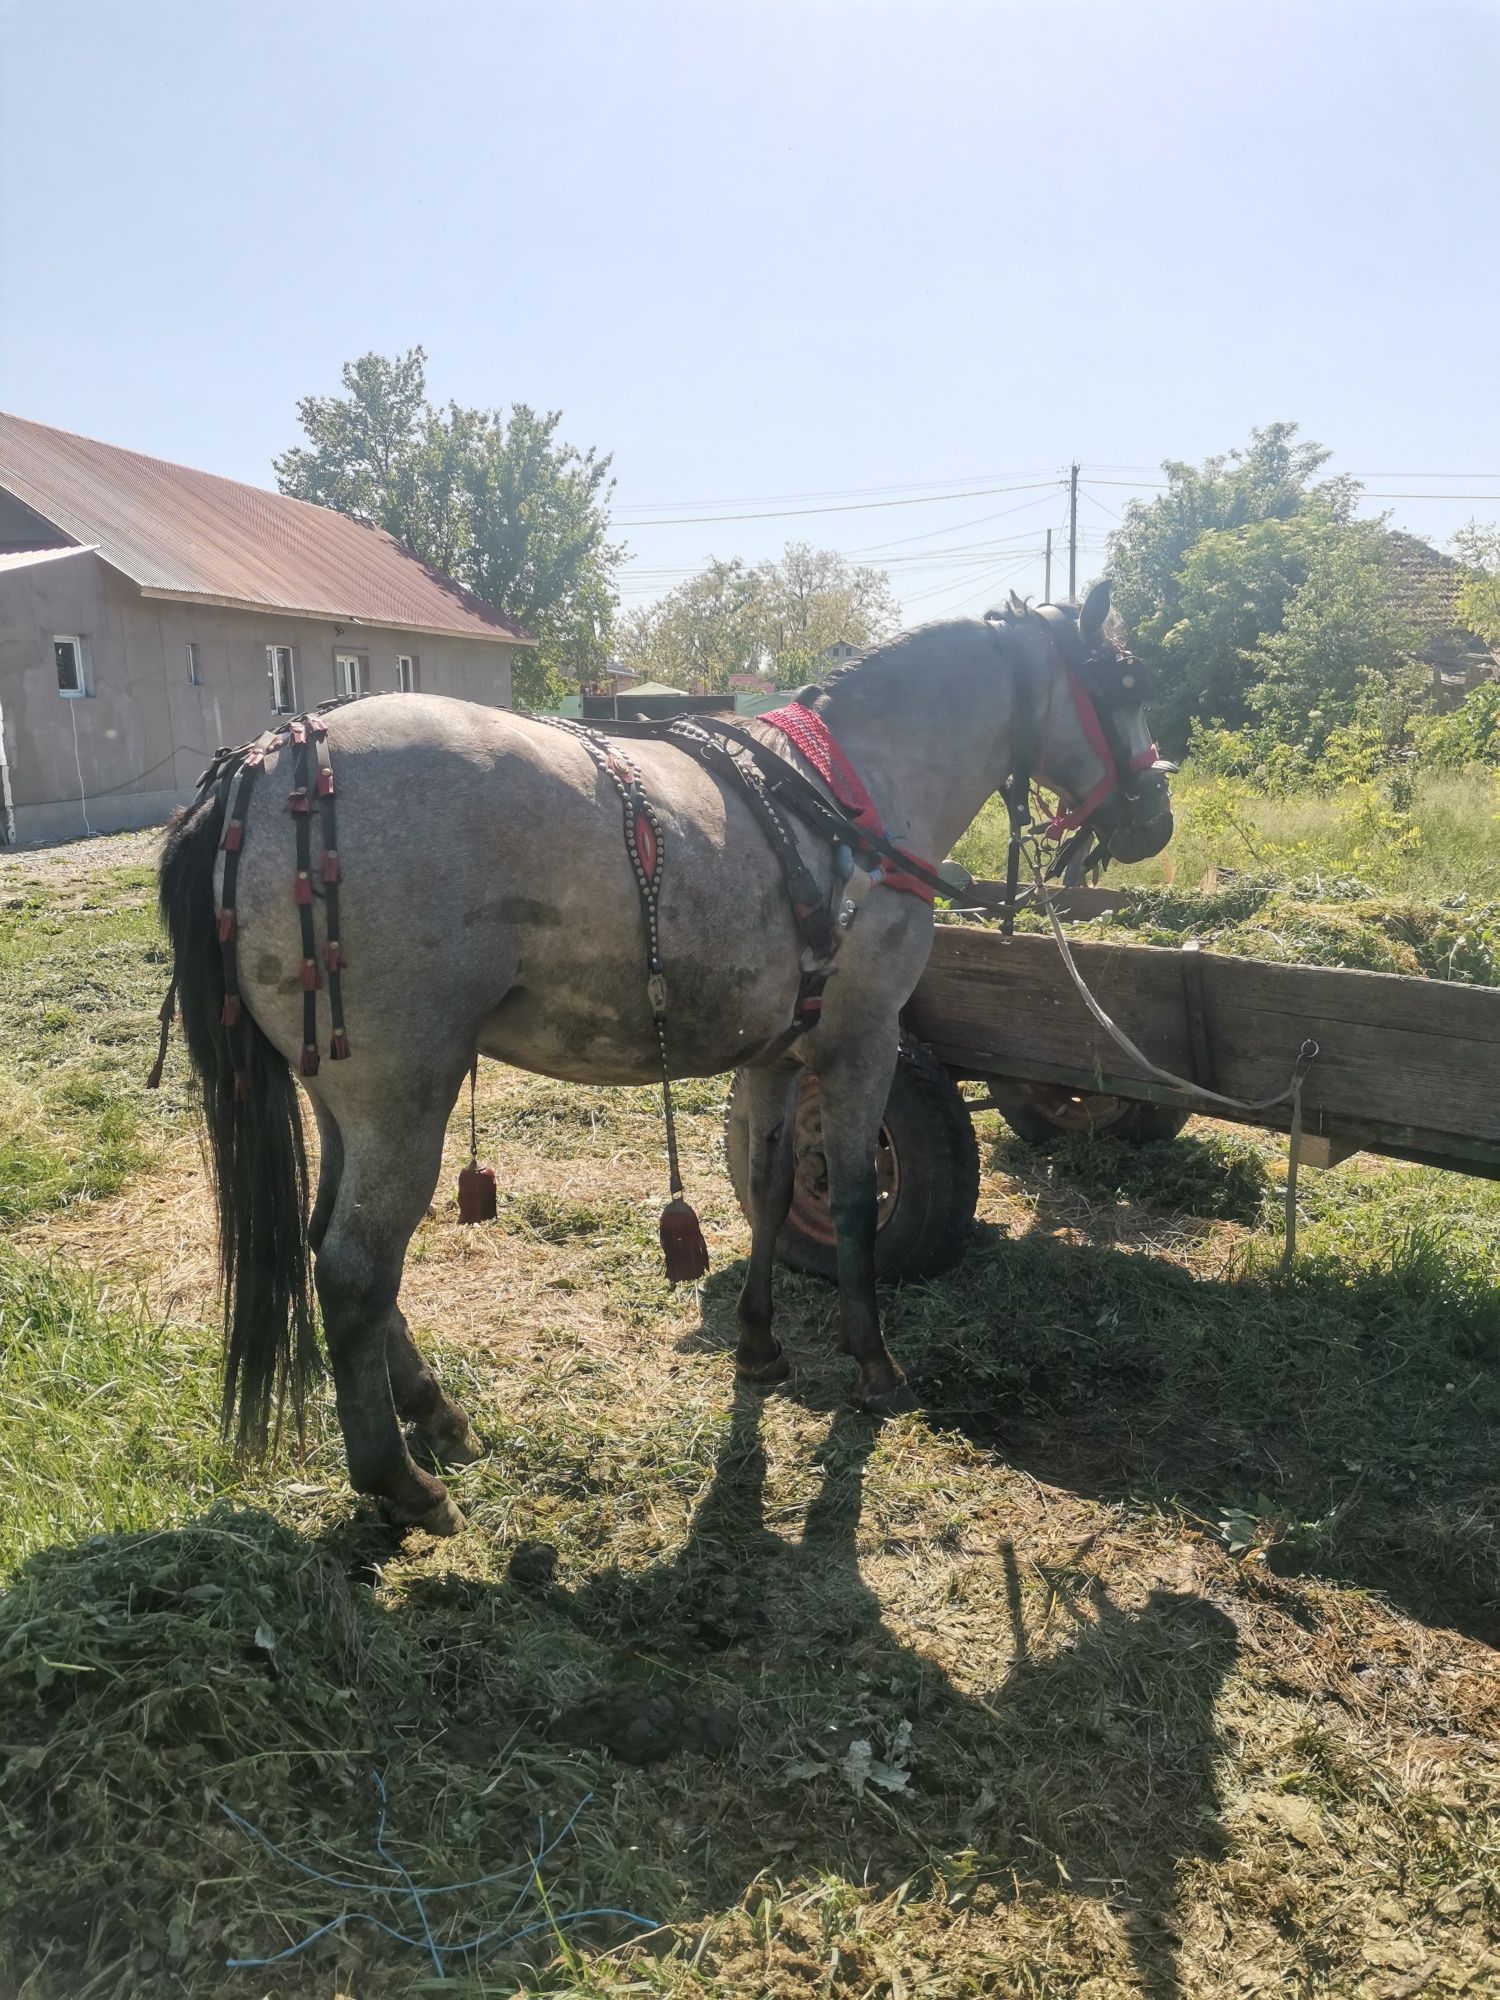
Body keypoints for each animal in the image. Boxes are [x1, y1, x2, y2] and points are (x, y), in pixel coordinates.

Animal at [162, 580, 1176, 1528]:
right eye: (1126, 682)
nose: (1155, 815)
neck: (849, 797)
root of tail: (267, 760)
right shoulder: (864, 1041)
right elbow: (853, 1201)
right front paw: (874, 1363)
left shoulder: (777, 1054)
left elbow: (771, 1189)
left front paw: (760, 1346)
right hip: (402, 1099)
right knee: (355, 1269)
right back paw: (400, 1481)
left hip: (340, 1099)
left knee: (328, 1243)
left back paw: (433, 1412)